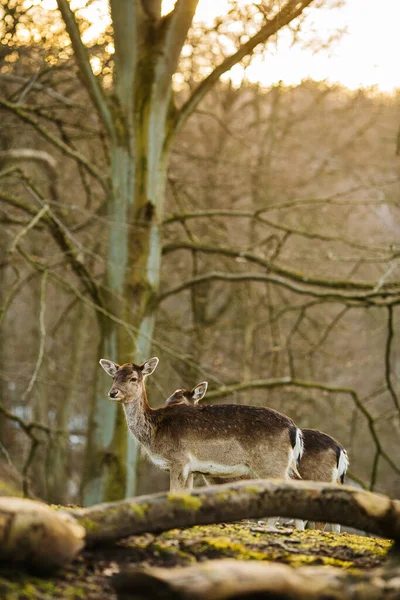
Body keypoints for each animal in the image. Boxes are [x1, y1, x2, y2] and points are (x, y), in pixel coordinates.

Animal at [99, 356, 304, 492]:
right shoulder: (191, 469)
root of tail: (293, 428)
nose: (113, 392)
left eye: (133, 378)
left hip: (271, 464)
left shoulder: (179, 460)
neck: (155, 432)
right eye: (113, 377)